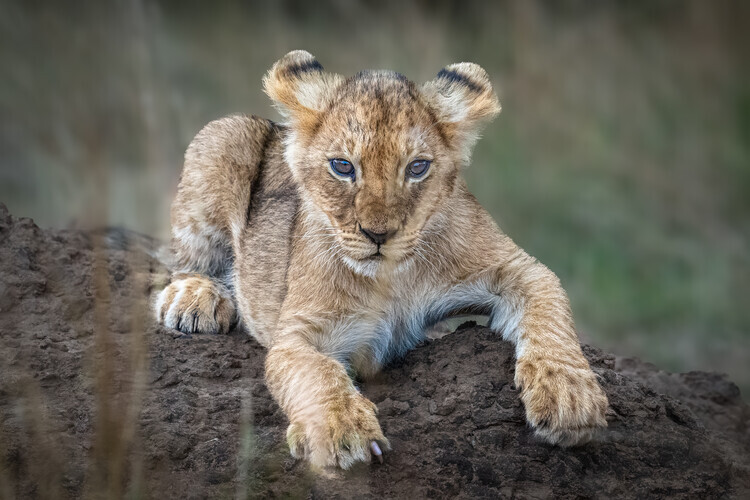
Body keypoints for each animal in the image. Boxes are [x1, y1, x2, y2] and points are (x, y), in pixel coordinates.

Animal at [154, 50, 608, 470]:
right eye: (342, 166)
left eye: (418, 167)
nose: (378, 234)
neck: (390, 278)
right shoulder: (297, 331)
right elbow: (314, 371)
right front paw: (343, 429)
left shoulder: (514, 267)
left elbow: (549, 309)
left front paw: (570, 395)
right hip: (225, 134)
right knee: (177, 261)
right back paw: (195, 299)